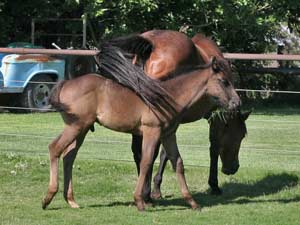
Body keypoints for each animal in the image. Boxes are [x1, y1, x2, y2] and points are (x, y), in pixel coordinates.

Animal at [41, 42, 239, 211]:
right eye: (224, 81)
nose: (237, 102)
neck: (168, 97)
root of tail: (65, 83)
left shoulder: (168, 135)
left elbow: (178, 163)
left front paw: (192, 202)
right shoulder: (152, 131)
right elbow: (146, 162)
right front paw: (140, 201)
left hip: (82, 129)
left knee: (69, 156)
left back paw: (71, 201)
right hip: (75, 126)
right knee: (54, 148)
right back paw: (47, 198)